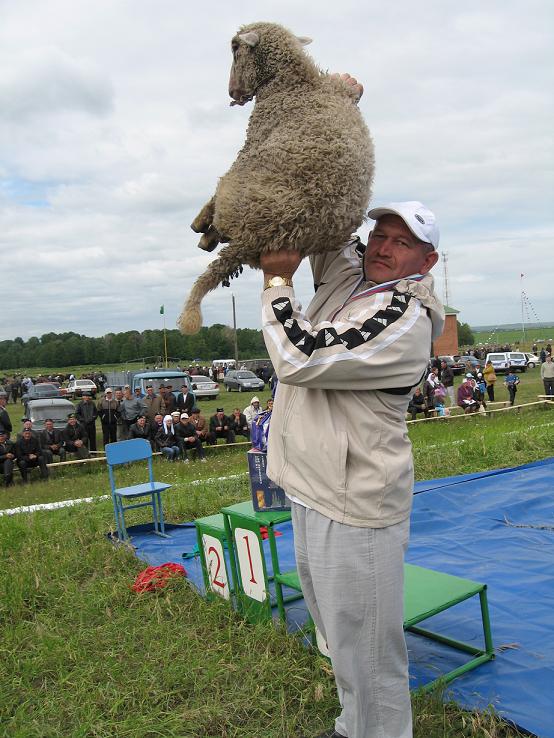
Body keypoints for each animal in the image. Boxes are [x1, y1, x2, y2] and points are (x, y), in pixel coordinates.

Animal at [179, 21, 374, 334]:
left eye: (235, 47)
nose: (233, 92)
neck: (295, 82)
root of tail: (255, 236)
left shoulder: (253, 141)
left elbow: (221, 180)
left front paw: (200, 218)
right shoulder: (339, 88)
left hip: (236, 191)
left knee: (219, 208)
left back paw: (204, 232)